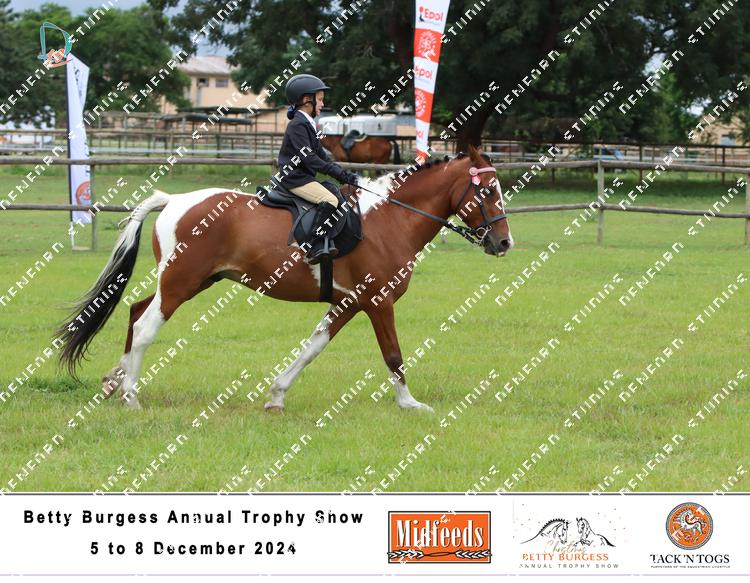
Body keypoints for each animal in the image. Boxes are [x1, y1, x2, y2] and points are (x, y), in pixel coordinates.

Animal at [54, 145, 512, 411]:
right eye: (488, 192)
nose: (504, 243)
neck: (391, 219)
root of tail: (174, 201)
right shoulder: (378, 301)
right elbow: (393, 355)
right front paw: (410, 404)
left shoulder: (349, 302)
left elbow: (313, 348)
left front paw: (276, 396)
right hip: (181, 283)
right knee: (147, 325)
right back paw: (131, 396)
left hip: (191, 281)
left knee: (135, 312)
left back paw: (114, 382)